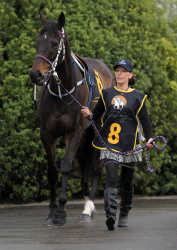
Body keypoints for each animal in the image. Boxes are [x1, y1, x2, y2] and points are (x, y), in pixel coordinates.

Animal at [29, 11, 115, 227]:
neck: (63, 91)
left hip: (96, 129)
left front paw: (61, 212)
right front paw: (52, 213)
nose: (35, 75)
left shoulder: (74, 132)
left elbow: (66, 167)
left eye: (53, 43)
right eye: (37, 41)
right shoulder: (47, 134)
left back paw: (88, 208)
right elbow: (52, 171)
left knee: (96, 168)